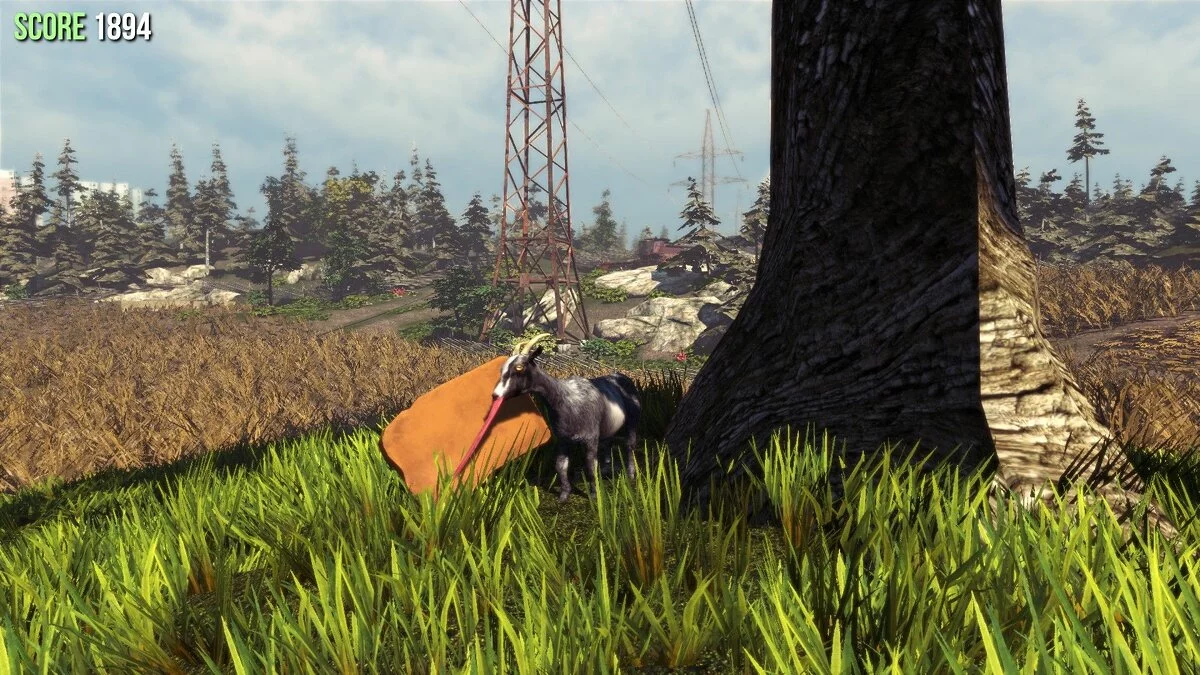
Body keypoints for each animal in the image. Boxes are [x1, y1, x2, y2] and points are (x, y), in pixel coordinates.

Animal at [475, 334, 642, 502]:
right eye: (502, 368)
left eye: (519, 367)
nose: (496, 395)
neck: (565, 398)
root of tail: (621, 376)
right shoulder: (563, 438)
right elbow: (560, 465)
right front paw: (564, 495)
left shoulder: (591, 437)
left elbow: (590, 466)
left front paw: (594, 496)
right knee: (608, 442)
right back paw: (606, 469)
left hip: (632, 420)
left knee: (629, 445)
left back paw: (630, 475)